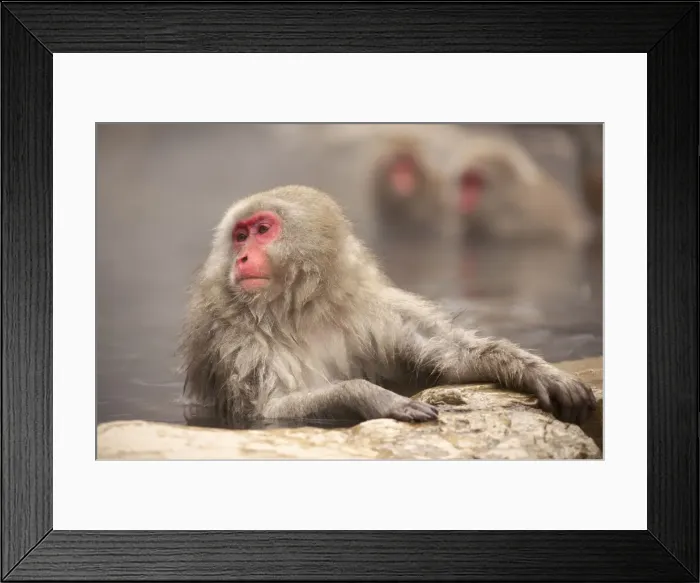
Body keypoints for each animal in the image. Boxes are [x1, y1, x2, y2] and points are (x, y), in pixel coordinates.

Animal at [178, 185, 596, 426]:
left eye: (263, 230)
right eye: (240, 236)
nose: (242, 258)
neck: (301, 309)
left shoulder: (371, 311)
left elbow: (448, 357)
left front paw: (540, 373)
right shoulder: (234, 336)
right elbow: (268, 410)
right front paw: (371, 396)